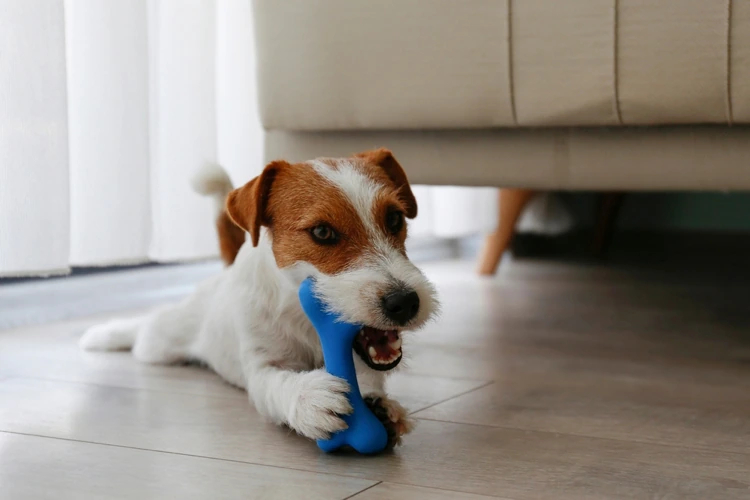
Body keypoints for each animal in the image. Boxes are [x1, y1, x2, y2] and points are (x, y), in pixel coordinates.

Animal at [81, 147, 440, 446]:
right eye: (322, 232)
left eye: (394, 218)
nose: (405, 302)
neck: (304, 318)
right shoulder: (261, 366)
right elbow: (275, 385)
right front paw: (309, 398)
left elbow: (366, 376)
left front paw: (378, 406)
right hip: (161, 342)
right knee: (144, 328)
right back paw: (103, 334)